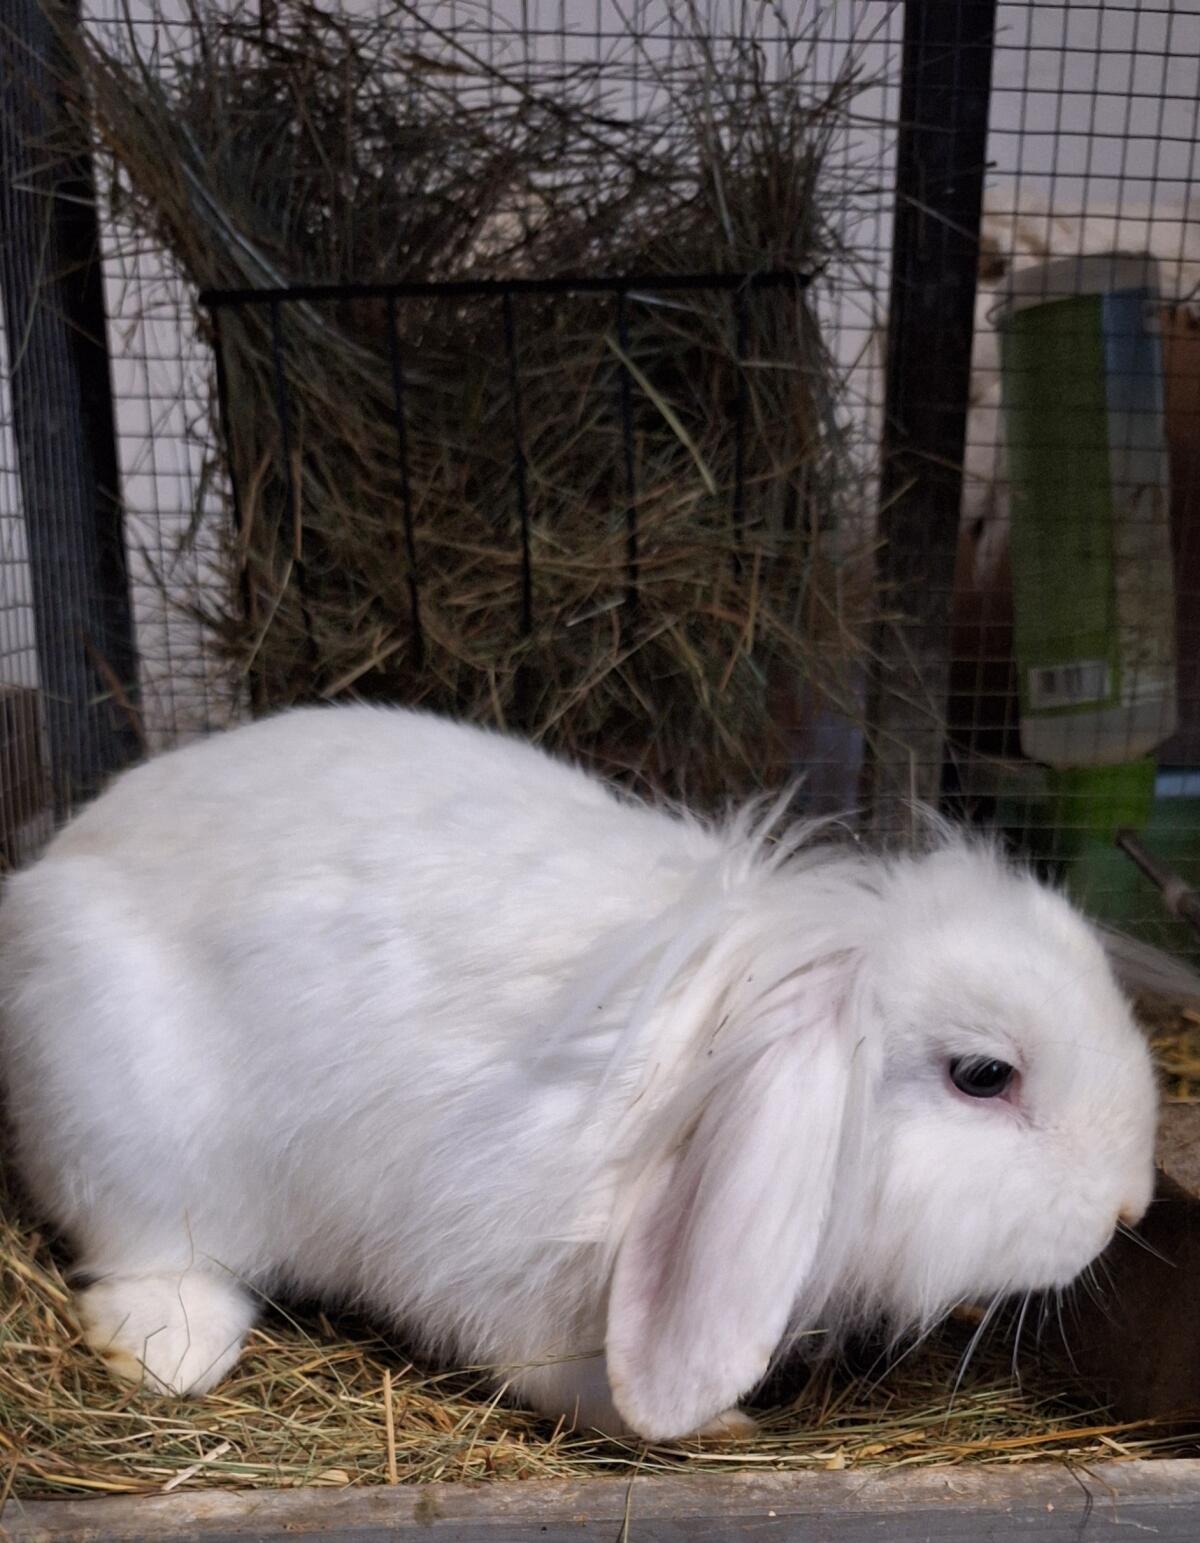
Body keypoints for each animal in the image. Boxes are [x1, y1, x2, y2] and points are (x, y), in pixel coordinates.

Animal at [0, 704, 1161, 1443]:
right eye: (984, 1074)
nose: (1131, 1205)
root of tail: (64, 853)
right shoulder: (504, 1263)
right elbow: (552, 1370)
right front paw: (720, 1422)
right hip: (126, 1128)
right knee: (148, 1250)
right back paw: (169, 1352)